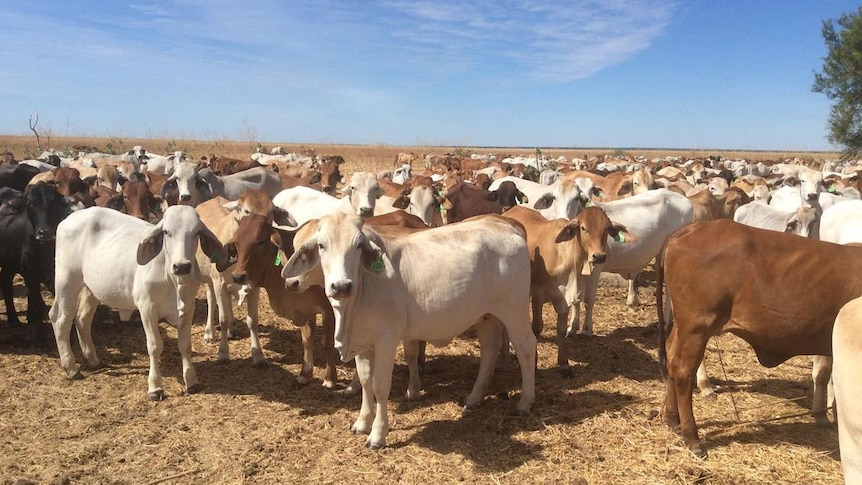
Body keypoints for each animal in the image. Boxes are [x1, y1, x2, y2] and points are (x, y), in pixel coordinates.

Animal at [0, 182, 71, 340]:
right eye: (30, 204)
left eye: (54, 203)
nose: (44, 232)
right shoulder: (30, 273)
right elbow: (39, 305)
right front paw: (41, 337)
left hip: (9, 264)